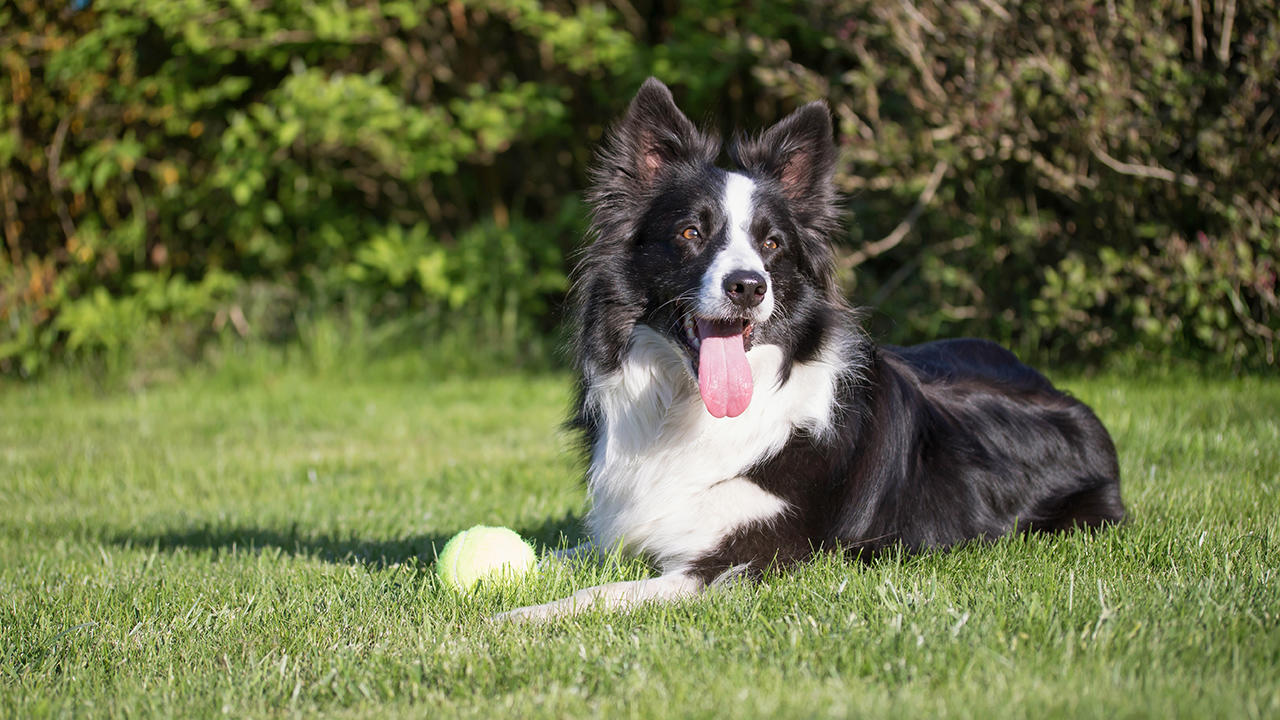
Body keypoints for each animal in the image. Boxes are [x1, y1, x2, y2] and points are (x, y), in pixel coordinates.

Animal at [496, 77, 1121, 617]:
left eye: (772, 244)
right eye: (691, 233)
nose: (749, 286)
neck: (690, 409)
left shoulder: (747, 560)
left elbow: (598, 595)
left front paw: (511, 620)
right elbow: (548, 553)